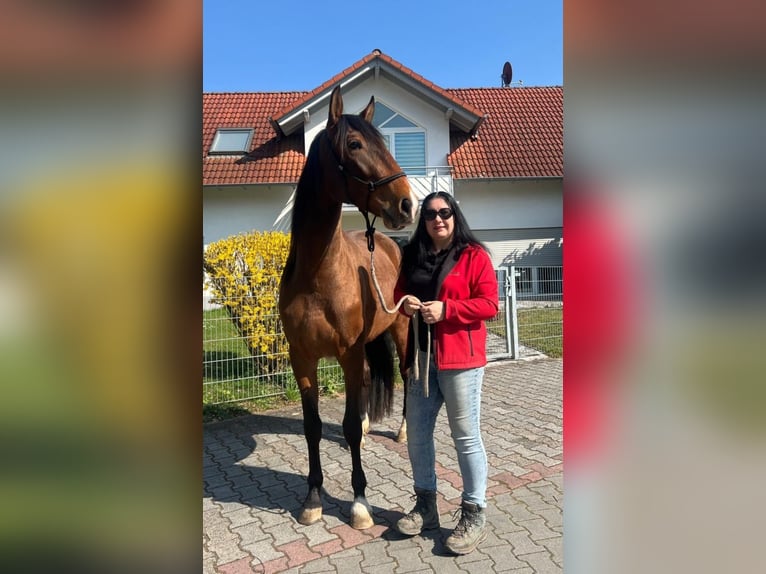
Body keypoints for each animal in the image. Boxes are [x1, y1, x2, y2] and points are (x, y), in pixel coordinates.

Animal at [278, 85, 414, 529]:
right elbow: (313, 426)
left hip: (401, 332)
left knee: (407, 376)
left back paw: (402, 431)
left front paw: (359, 503)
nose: (407, 204)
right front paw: (312, 498)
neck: (318, 274)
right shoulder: (302, 359)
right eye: (355, 144)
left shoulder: (348, 353)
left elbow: (349, 427)